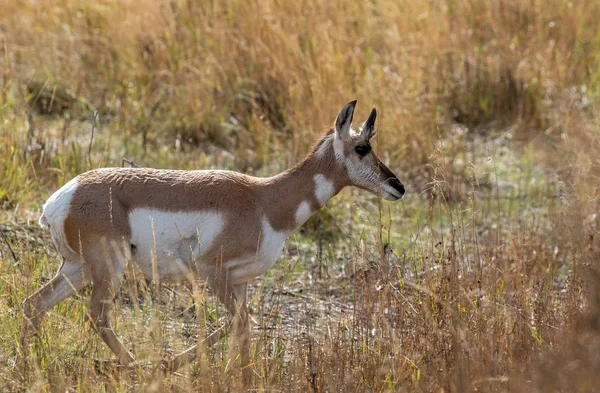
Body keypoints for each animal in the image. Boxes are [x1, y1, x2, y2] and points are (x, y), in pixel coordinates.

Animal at [19, 99, 404, 382]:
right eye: (361, 147)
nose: (397, 186)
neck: (265, 199)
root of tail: (61, 198)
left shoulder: (240, 281)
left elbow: (240, 327)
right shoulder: (211, 272)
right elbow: (239, 324)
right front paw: (174, 366)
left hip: (78, 268)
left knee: (34, 304)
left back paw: (29, 367)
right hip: (108, 267)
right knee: (96, 315)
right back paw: (138, 368)